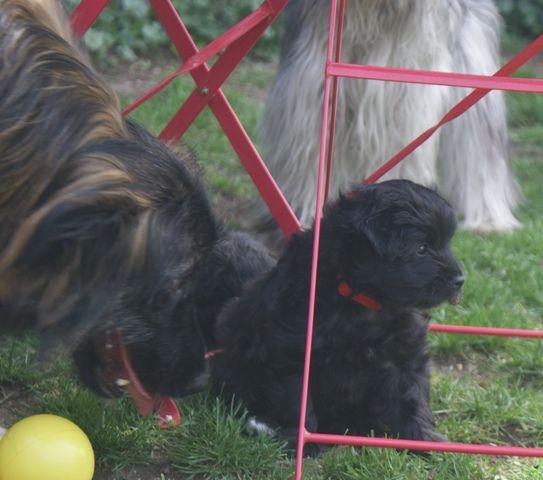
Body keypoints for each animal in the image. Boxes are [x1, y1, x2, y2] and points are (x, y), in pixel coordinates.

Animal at [212, 179, 464, 454]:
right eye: (421, 248)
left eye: (447, 243)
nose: (460, 280)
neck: (362, 300)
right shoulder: (290, 354)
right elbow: (299, 405)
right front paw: (305, 444)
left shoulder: (403, 354)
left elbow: (411, 398)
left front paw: (425, 440)